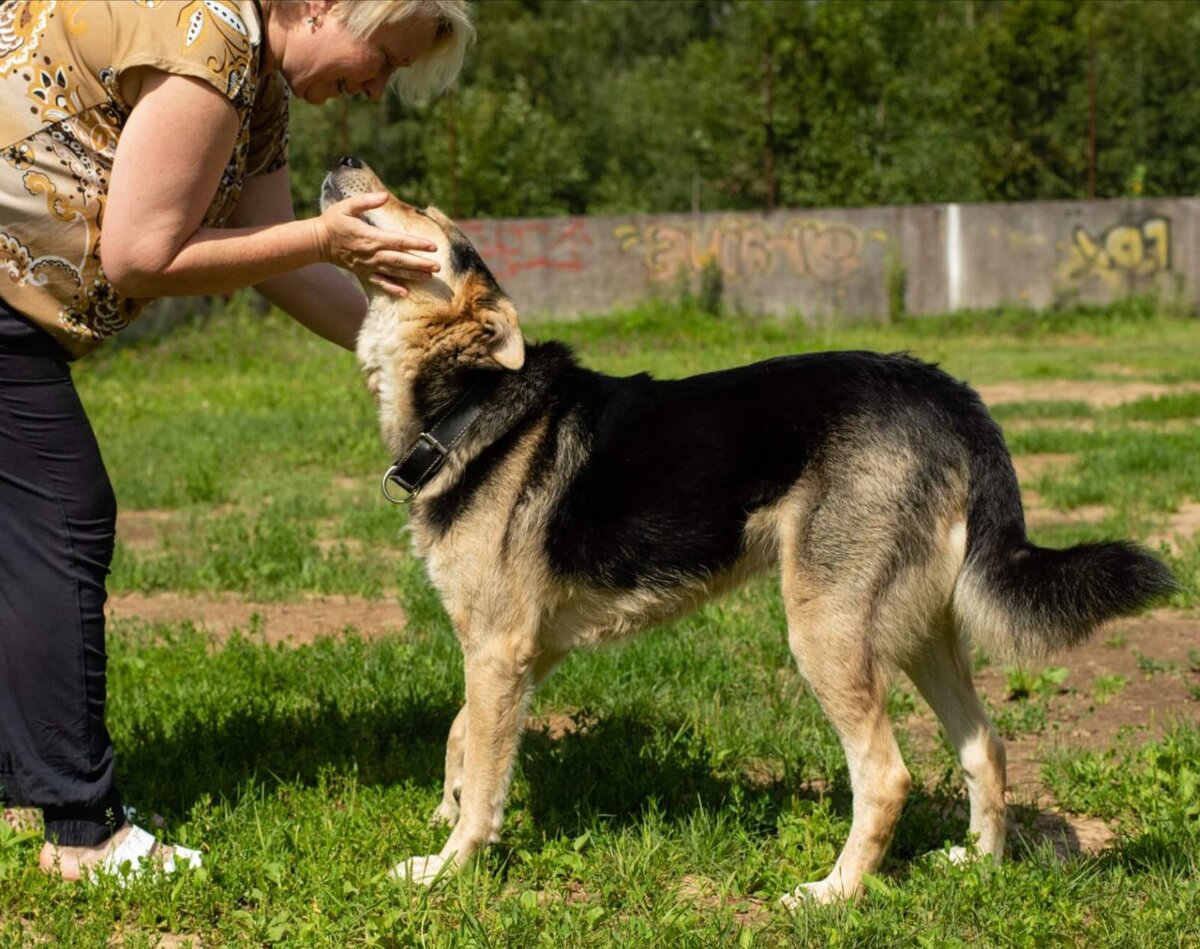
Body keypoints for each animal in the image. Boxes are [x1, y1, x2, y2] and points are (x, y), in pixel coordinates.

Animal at [319, 155, 1171, 907]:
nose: (347, 157)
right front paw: (445, 806)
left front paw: (447, 865)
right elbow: (462, 732)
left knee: (886, 775)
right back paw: (978, 864)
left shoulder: (499, 648)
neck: (470, 399)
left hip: (825, 630)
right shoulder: (521, 648)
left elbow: (485, 770)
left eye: (427, 218)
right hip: (919, 628)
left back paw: (833, 894)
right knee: (984, 744)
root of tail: (946, 391)